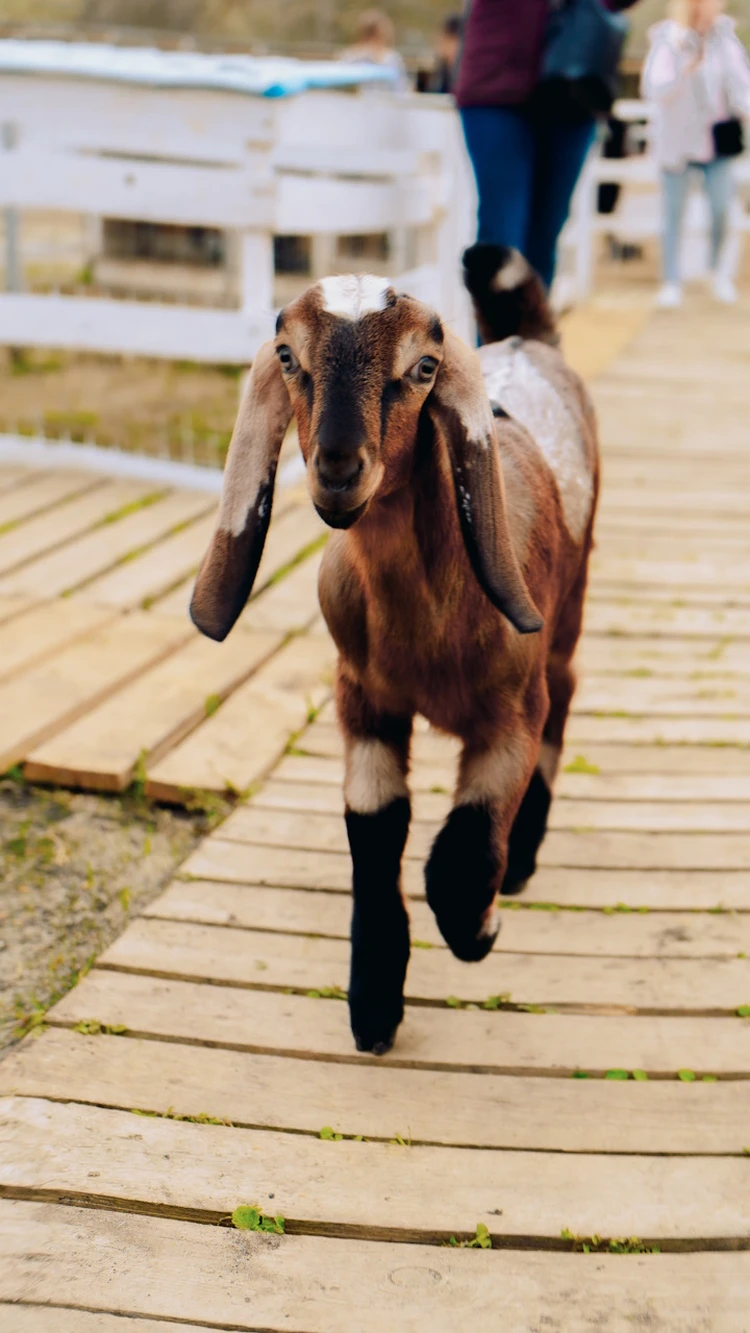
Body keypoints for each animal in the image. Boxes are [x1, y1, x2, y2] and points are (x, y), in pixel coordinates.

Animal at [191, 251, 599, 1050]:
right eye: (288, 357)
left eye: (424, 367)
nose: (338, 467)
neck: (429, 622)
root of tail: (529, 338)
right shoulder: (365, 702)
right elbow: (377, 838)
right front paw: (375, 1002)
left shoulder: (512, 715)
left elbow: (464, 854)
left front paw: (481, 929)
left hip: (566, 612)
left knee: (567, 694)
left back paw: (524, 857)